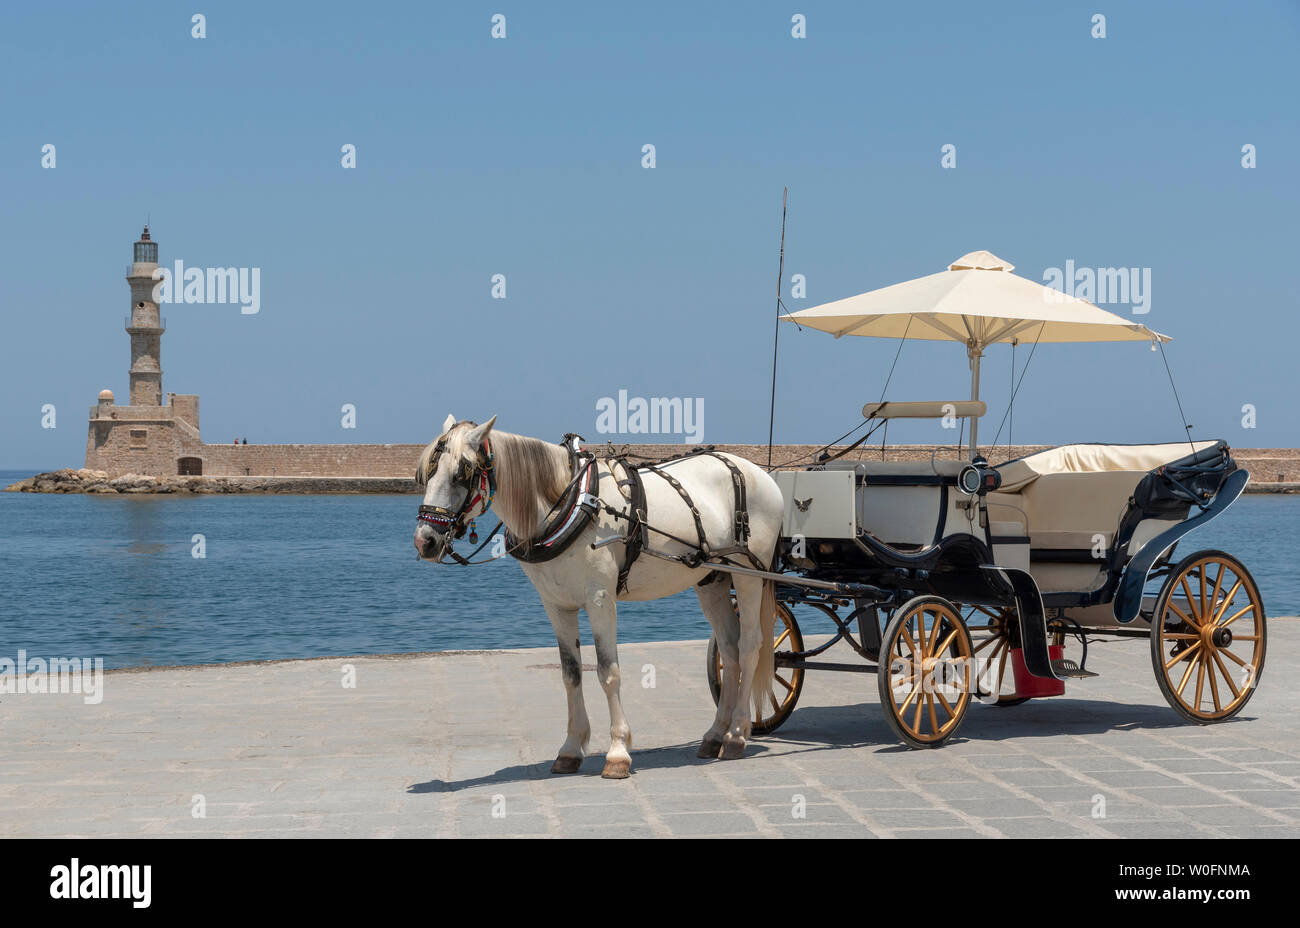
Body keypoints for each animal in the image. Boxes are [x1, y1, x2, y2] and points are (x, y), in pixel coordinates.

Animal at [416, 415, 780, 774]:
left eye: (461, 473)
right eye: (424, 475)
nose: (425, 541)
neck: (569, 502)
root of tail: (758, 471)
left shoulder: (601, 599)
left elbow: (608, 672)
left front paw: (618, 751)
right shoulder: (556, 605)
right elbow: (571, 673)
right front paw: (570, 749)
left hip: (748, 575)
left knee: (749, 646)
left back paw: (736, 735)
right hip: (711, 579)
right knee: (729, 650)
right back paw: (716, 734)